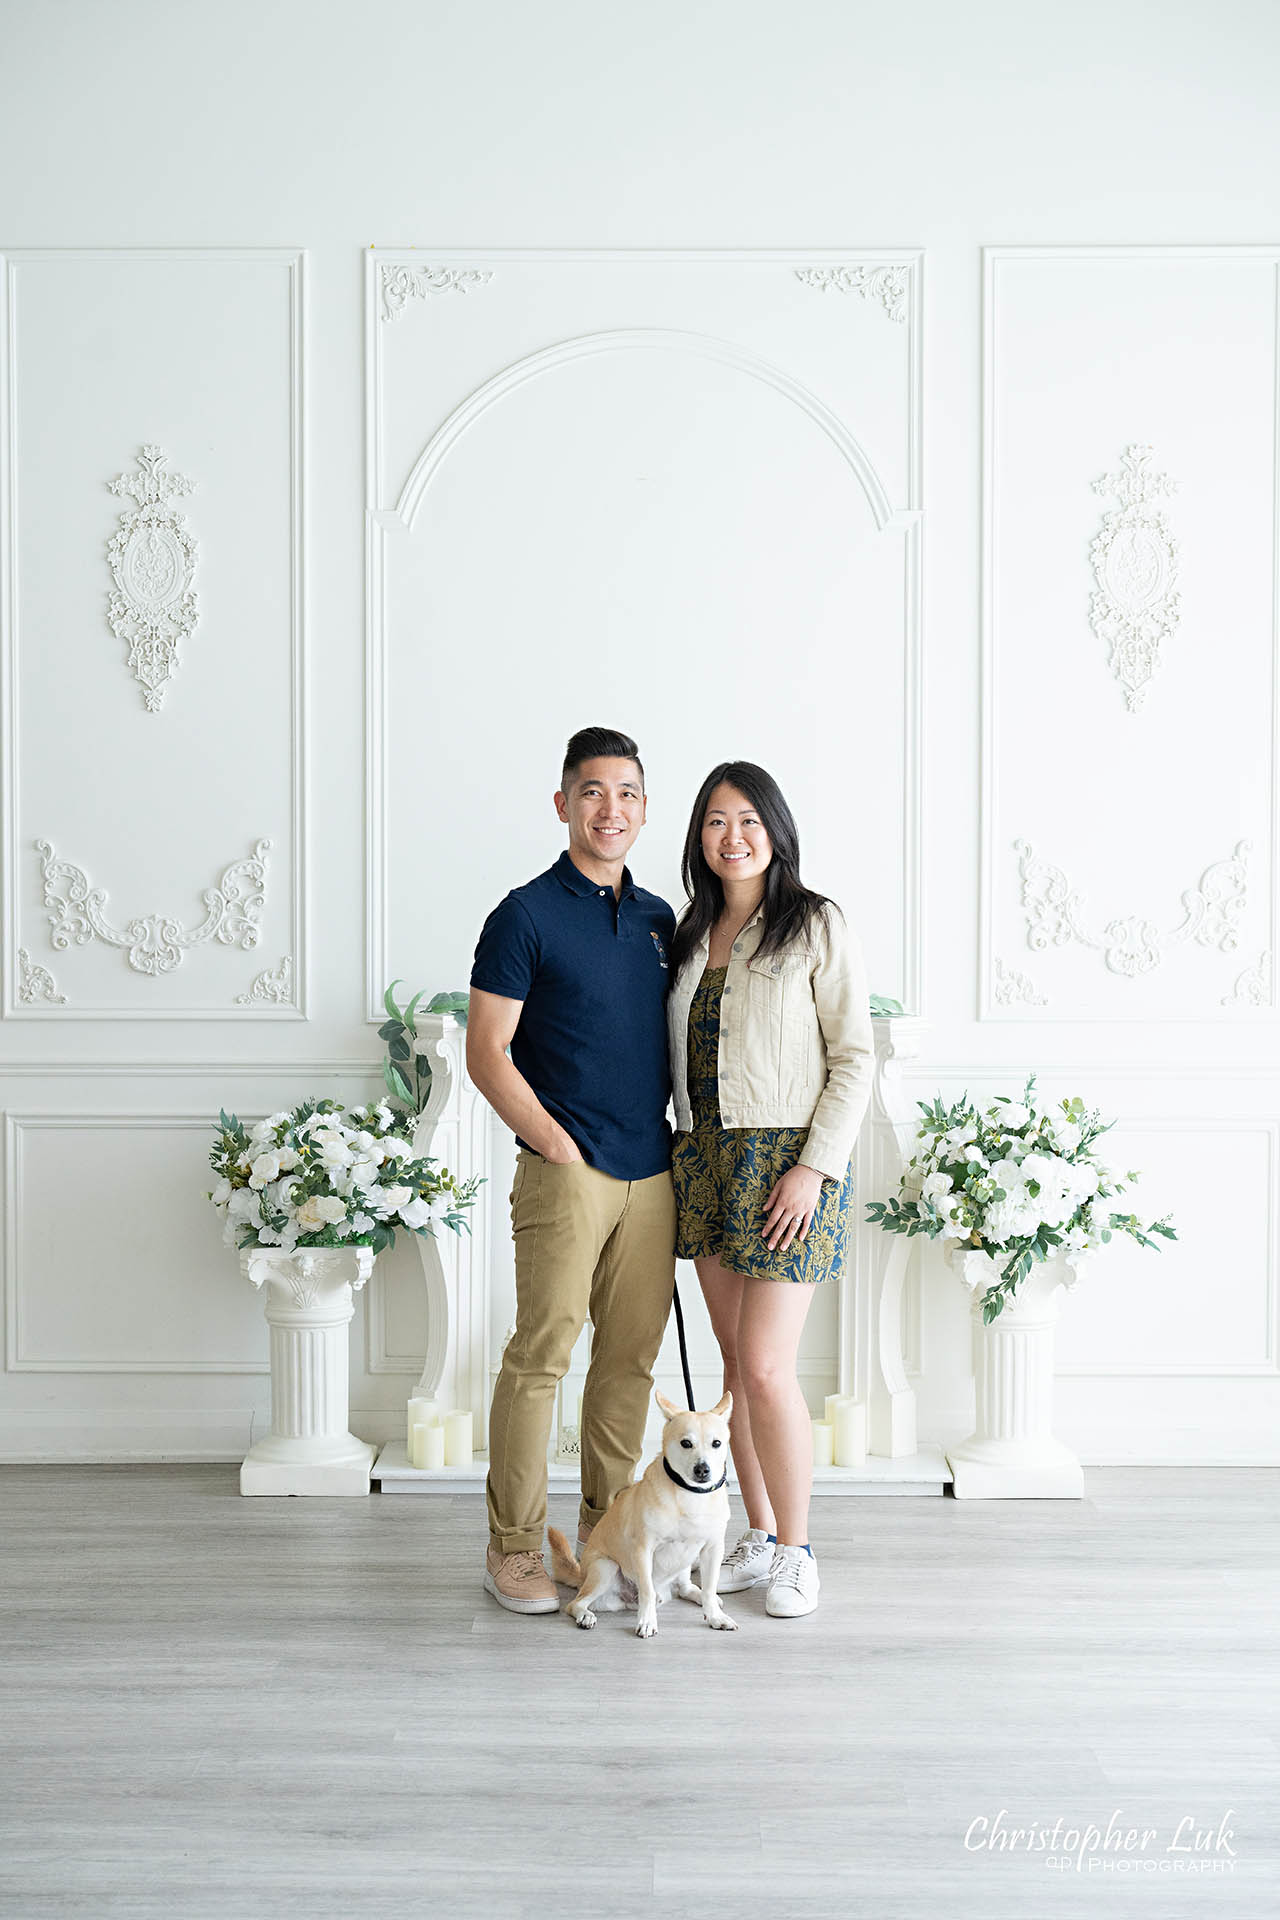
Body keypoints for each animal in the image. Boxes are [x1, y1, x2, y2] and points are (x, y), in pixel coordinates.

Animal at [548, 1390, 740, 1643]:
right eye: (686, 1443)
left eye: (716, 1443)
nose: (702, 1469)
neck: (691, 1494)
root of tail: (582, 1576)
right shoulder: (643, 1549)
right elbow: (647, 1590)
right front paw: (647, 1621)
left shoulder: (712, 1549)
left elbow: (709, 1587)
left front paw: (716, 1616)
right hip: (605, 1568)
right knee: (576, 1603)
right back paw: (585, 1616)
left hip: (686, 1564)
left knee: (686, 1588)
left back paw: (702, 1598)